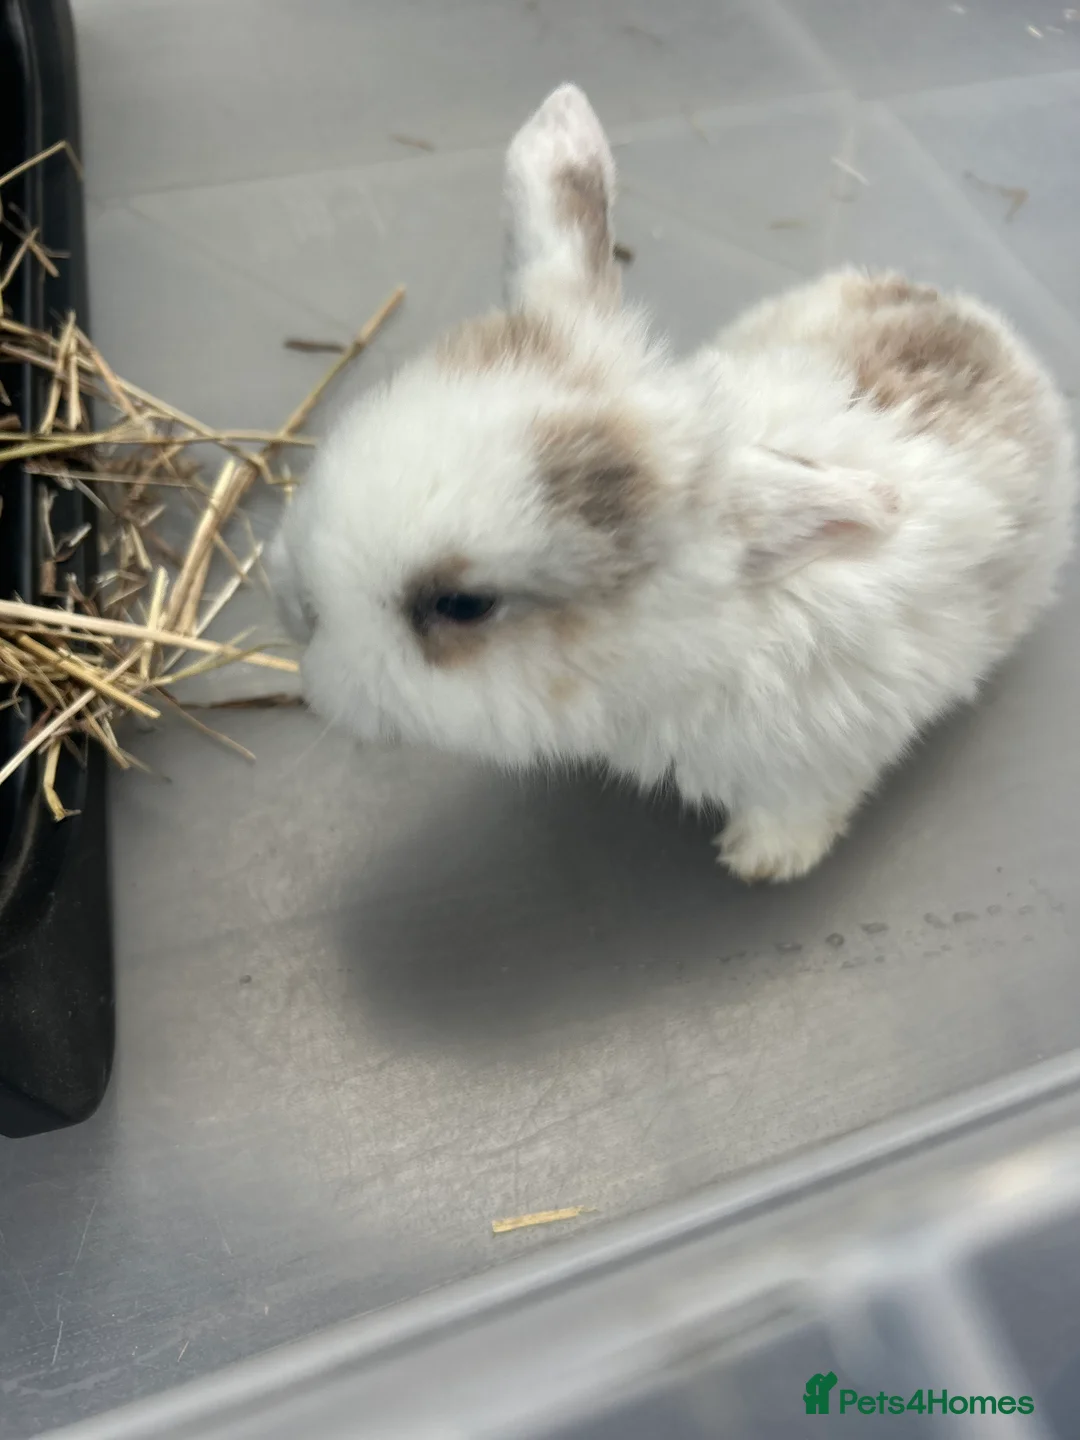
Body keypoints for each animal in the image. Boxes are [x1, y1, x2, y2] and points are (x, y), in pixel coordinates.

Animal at [269, 83, 1076, 884]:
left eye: (463, 605)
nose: (297, 609)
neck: (679, 644)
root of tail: (980, 318)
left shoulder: (816, 763)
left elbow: (800, 809)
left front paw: (760, 862)